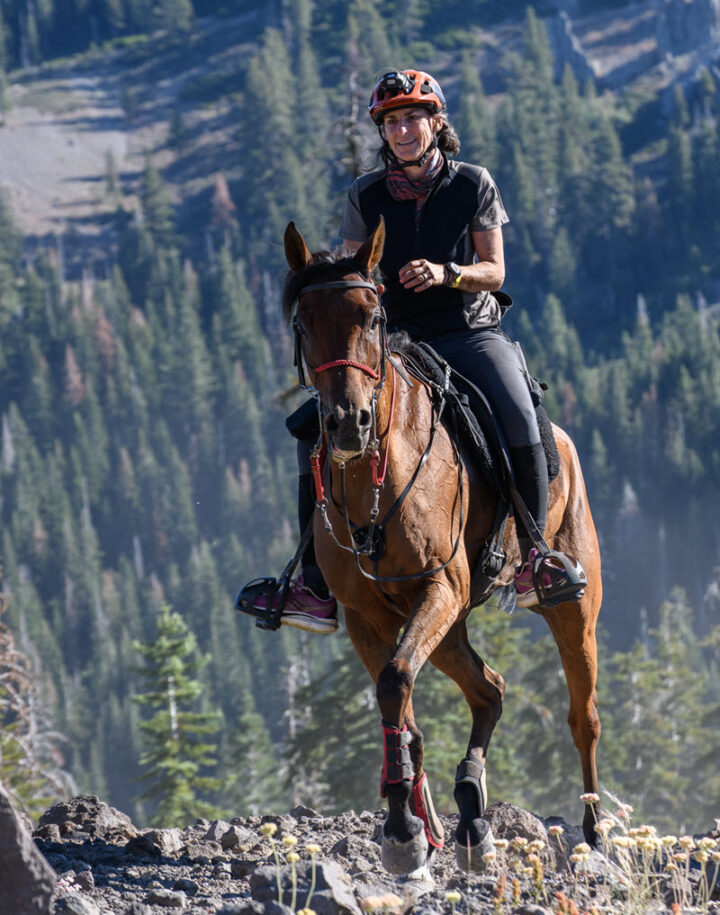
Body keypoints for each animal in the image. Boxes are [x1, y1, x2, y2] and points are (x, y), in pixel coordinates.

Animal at [282, 218, 600, 876]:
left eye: (373, 316)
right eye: (303, 323)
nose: (347, 422)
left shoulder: (440, 587)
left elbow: (397, 682)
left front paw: (406, 827)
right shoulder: (368, 615)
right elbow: (398, 703)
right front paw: (410, 825)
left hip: (569, 605)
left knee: (583, 716)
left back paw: (595, 833)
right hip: (448, 626)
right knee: (490, 689)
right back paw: (471, 811)